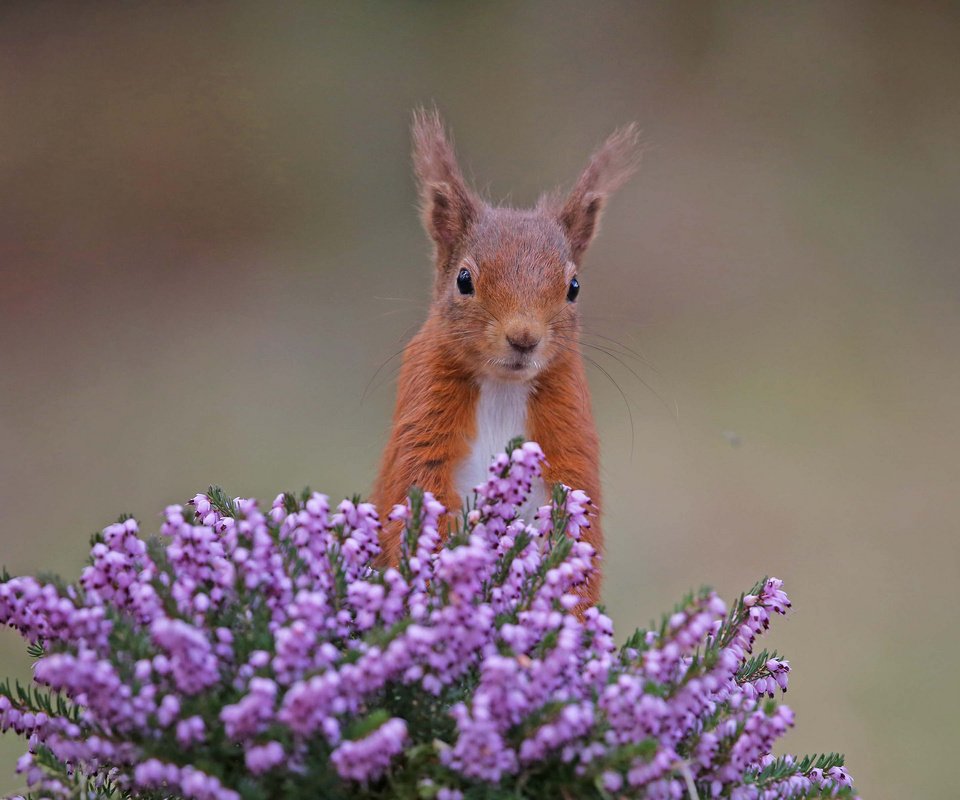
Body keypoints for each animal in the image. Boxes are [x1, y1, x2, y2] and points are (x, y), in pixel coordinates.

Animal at [374, 109, 636, 604]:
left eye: (574, 287)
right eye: (463, 280)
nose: (523, 337)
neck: (501, 386)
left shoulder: (570, 426)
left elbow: (579, 519)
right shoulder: (424, 410)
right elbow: (419, 486)